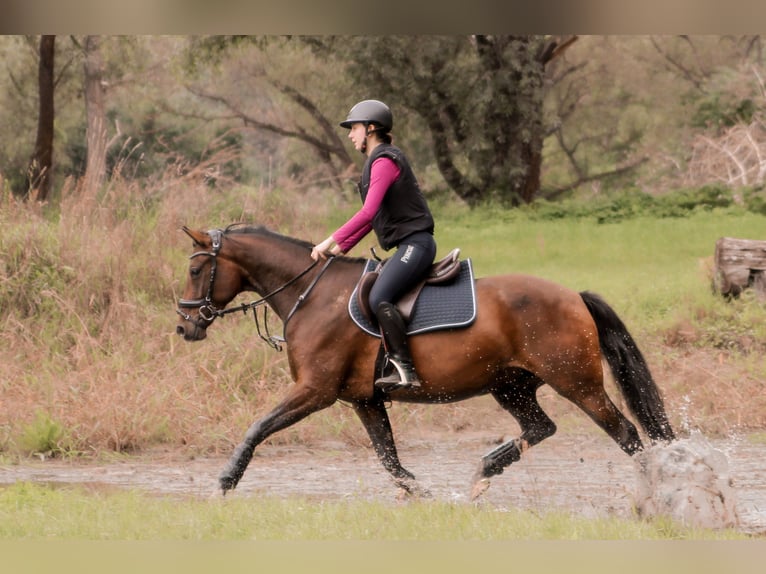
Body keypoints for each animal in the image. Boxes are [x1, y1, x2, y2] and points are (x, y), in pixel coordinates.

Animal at [175, 223, 676, 499]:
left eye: (196, 269)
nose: (185, 327)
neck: (312, 294)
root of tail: (574, 295)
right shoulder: (363, 400)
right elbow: (388, 458)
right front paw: (423, 494)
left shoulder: (315, 390)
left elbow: (258, 426)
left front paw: (224, 482)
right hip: (510, 385)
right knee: (541, 427)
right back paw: (482, 474)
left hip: (578, 384)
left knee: (627, 435)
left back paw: (654, 494)